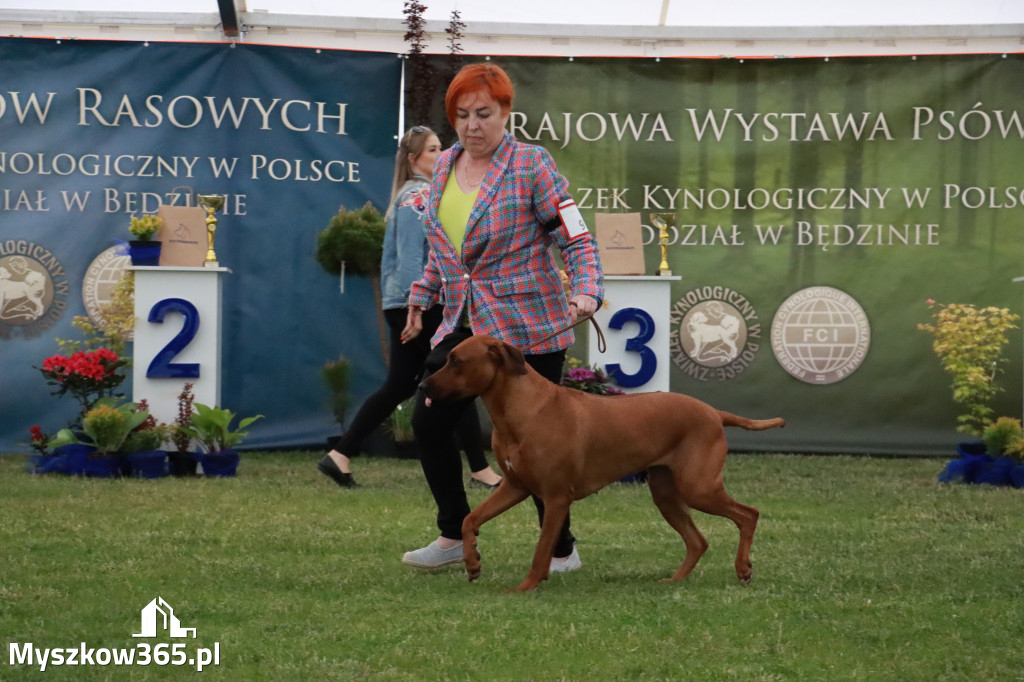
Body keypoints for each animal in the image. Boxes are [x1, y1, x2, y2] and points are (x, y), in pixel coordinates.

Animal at [419, 331, 786, 585]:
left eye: (456, 361)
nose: (422, 387)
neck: (521, 410)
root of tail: (714, 412)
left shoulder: (556, 498)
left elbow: (541, 551)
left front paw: (524, 587)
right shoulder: (514, 486)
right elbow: (470, 520)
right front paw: (472, 561)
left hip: (698, 487)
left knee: (748, 514)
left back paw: (743, 567)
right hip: (666, 492)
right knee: (698, 541)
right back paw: (675, 580)